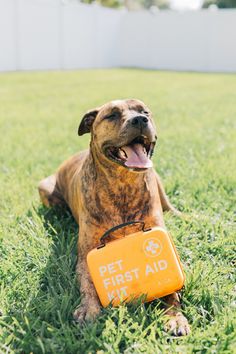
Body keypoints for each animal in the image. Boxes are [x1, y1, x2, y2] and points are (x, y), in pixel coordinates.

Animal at [38, 99, 190, 334]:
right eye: (111, 115)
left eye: (145, 111)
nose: (140, 120)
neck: (123, 184)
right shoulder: (86, 256)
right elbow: (88, 283)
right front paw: (89, 308)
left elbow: (172, 289)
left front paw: (175, 316)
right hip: (45, 189)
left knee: (173, 209)